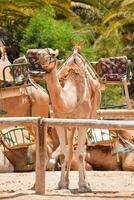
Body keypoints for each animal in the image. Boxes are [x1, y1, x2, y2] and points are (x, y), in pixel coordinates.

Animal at [26, 47, 101, 192]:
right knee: (70, 150)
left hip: (87, 120)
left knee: (78, 151)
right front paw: (61, 184)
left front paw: (83, 185)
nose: (29, 54)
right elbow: (63, 154)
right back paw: (67, 181)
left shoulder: (82, 123)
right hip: (70, 127)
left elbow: (81, 154)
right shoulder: (59, 123)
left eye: (51, 54)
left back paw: (86, 183)